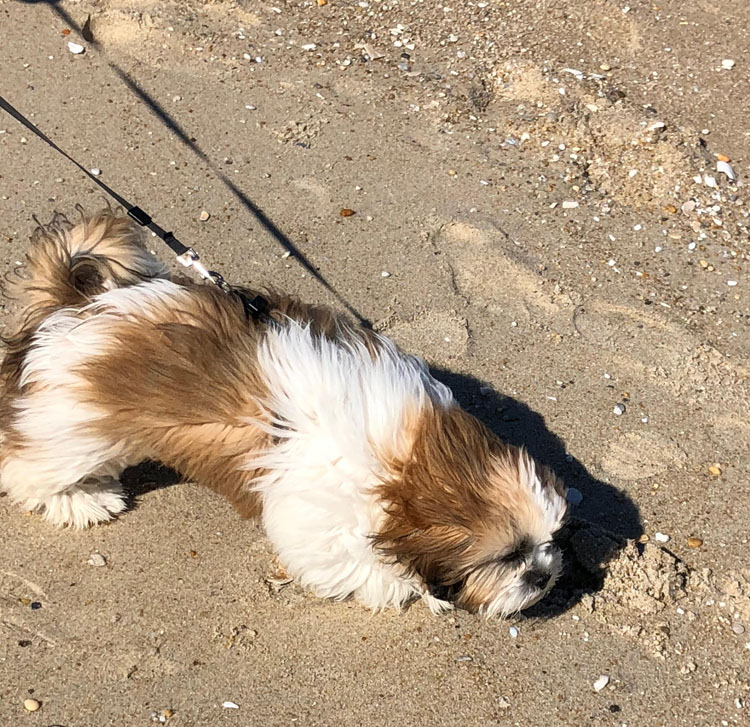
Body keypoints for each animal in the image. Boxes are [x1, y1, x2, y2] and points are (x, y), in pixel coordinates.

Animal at [0, 208, 568, 616]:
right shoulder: (319, 512)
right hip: (73, 423)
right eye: (508, 556)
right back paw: (81, 499)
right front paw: (403, 586)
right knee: (27, 467)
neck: (409, 464)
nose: (542, 575)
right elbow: (351, 561)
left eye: (547, 543)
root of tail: (80, 306)